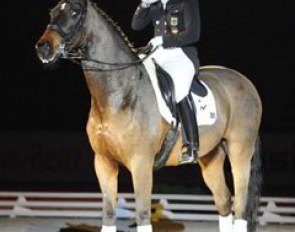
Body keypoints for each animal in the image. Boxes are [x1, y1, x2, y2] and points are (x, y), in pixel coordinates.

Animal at [34, 0, 264, 232]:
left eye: (75, 12)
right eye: (52, 12)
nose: (43, 47)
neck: (119, 93)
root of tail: (246, 82)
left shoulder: (141, 163)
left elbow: (144, 215)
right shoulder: (104, 162)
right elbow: (108, 214)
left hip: (239, 150)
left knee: (240, 206)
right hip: (211, 155)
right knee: (224, 201)